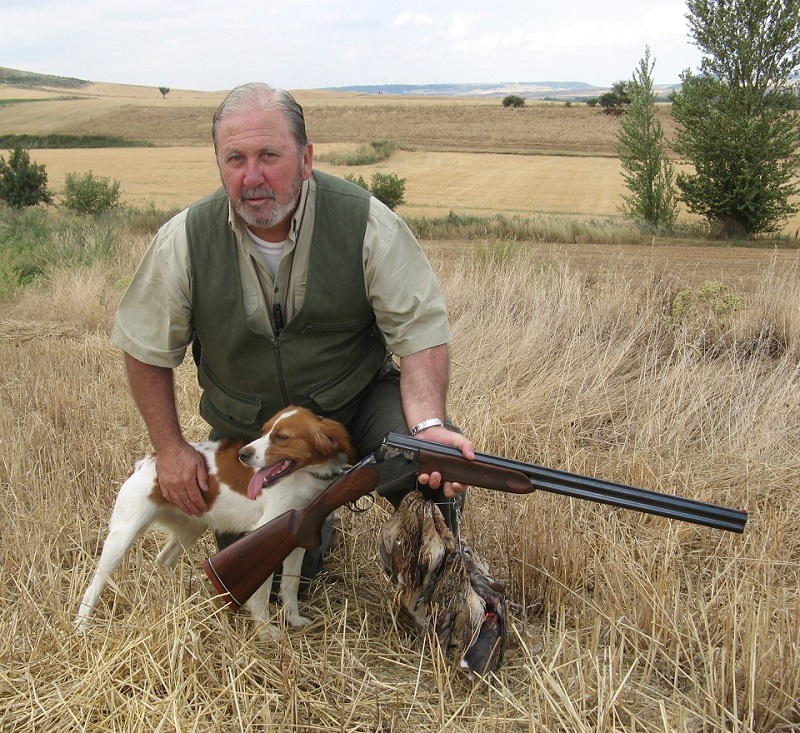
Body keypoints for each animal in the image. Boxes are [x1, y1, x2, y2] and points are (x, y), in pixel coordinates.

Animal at [75, 404, 356, 636]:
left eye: (281, 437)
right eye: (264, 431)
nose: (243, 454)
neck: (302, 477)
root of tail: (148, 461)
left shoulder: (298, 537)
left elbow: (290, 583)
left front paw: (294, 620)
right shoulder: (269, 533)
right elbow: (262, 591)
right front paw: (265, 631)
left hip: (190, 529)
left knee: (163, 560)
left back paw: (177, 597)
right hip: (122, 535)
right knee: (95, 583)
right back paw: (81, 625)